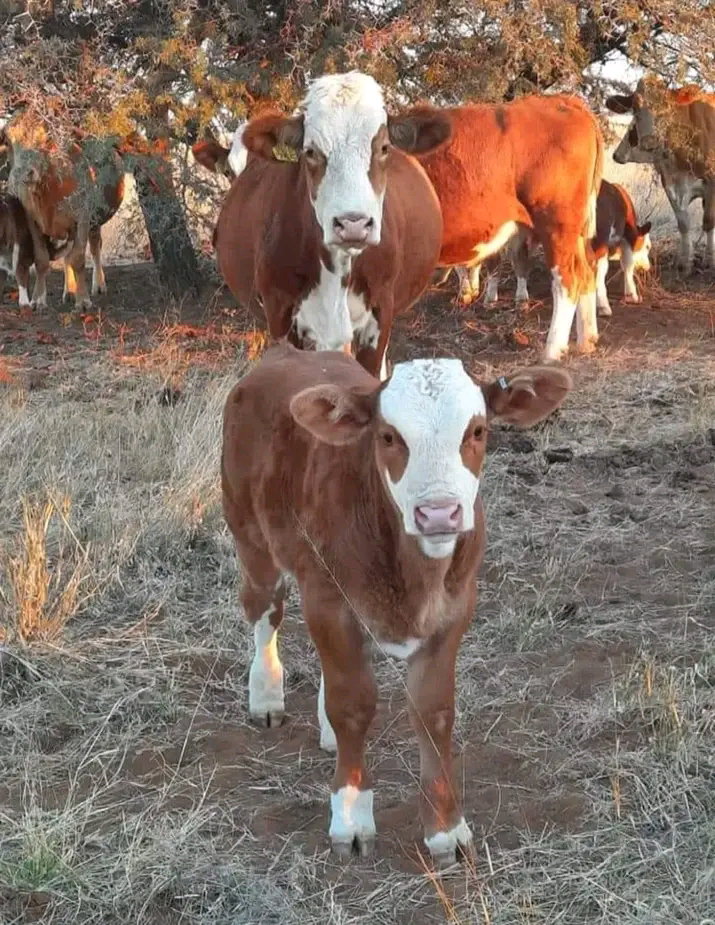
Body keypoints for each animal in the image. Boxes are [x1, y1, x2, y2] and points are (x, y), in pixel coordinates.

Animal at [1, 121, 125, 309]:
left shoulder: (82, 219)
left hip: (95, 221)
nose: (24, 172)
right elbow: (42, 259)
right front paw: (38, 299)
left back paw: (98, 284)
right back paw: (69, 291)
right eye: (8, 141)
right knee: (67, 257)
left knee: (95, 247)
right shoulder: (33, 222)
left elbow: (78, 258)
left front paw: (83, 300)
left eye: (44, 140)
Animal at [221, 341, 573, 865]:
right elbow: (353, 704)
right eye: (388, 436)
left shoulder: (455, 608)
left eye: (478, 430)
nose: (439, 513)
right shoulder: (328, 599)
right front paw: (351, 817)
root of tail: (288, 352)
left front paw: (446, 829)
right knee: (266, 611)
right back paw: (265, 694)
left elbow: (433, 711)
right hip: (250, 534)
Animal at [413, 94, 604, 362]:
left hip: (557, 225)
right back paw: (586, 341)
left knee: (568, 279)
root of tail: (563, 100)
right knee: (587, 270)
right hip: (575, 230)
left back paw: (552, 351)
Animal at [471, 180, 653, 316]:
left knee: (503, 260)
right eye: (647, 246)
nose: (647, 267)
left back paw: (494, 298)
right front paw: (630, 295)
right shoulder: (621, 238)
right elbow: (626, 266)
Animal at [605, 79, 715, 273]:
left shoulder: (711, 182)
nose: (649, 140)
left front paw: (709, 259)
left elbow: (709, 221)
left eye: (666, 108)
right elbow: (683, 223)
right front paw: (684, 262)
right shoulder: (669, 182)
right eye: (635, 108)